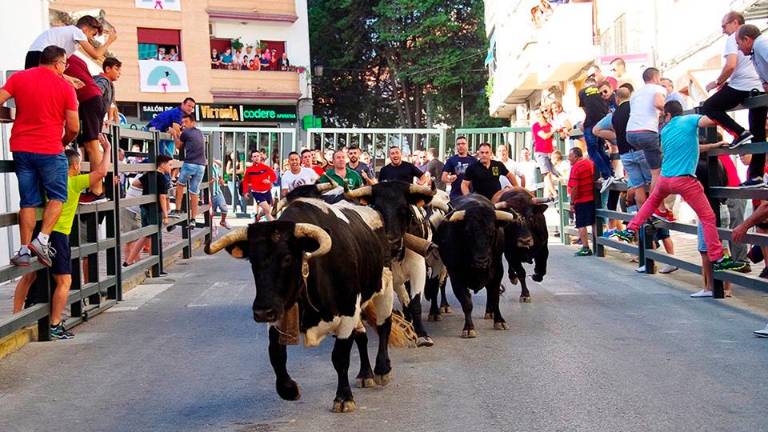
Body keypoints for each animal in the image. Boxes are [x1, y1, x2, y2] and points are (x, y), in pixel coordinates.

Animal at [206, 197, 396, 414]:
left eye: (287, 258)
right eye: (252, 261)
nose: (261, 311)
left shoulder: (348, 310)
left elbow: (340, 357)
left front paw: (343, 398)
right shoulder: (280, 312)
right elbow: (276, 354)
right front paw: (288, 389)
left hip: (384, 286)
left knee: (384, 326)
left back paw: (382, 369)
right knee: (362, 335)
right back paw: (365, 374)